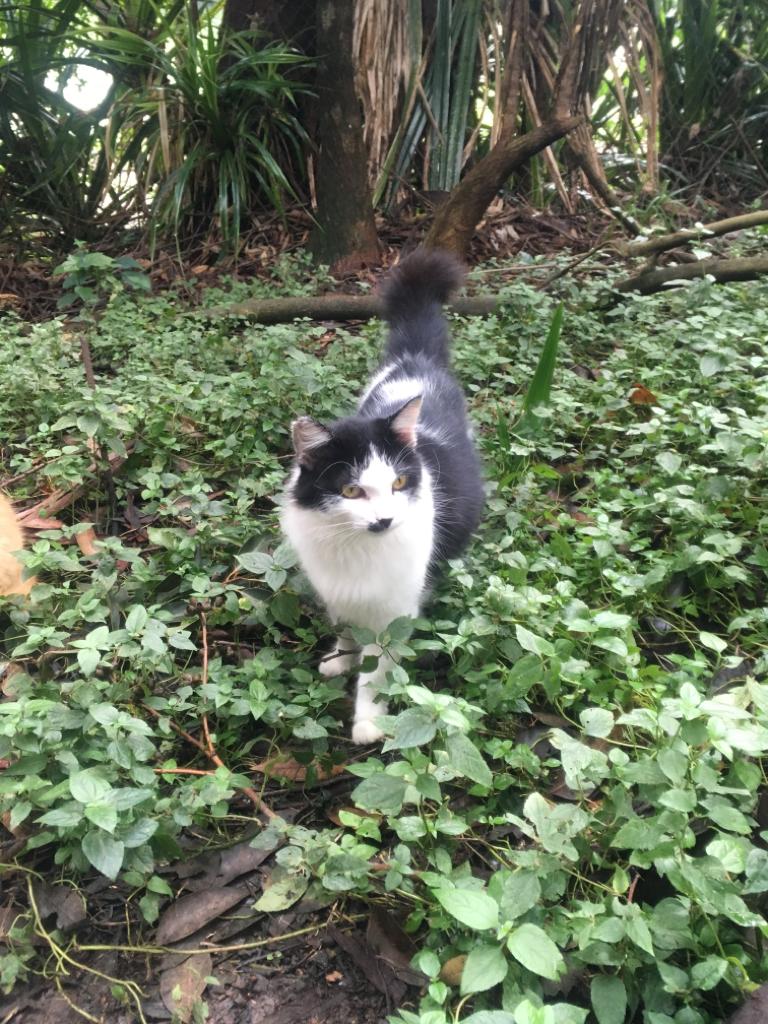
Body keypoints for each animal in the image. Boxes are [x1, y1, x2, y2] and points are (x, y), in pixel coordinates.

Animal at [282, 247, 483, 745]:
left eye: (397, 484)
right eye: (351, 490)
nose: (385, 520)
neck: (357, 549)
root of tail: (415, 362)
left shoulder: (395, 613)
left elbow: (376, 671)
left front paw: (370, 721)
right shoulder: (339, 595)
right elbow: (347, 633)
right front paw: (340, 659)